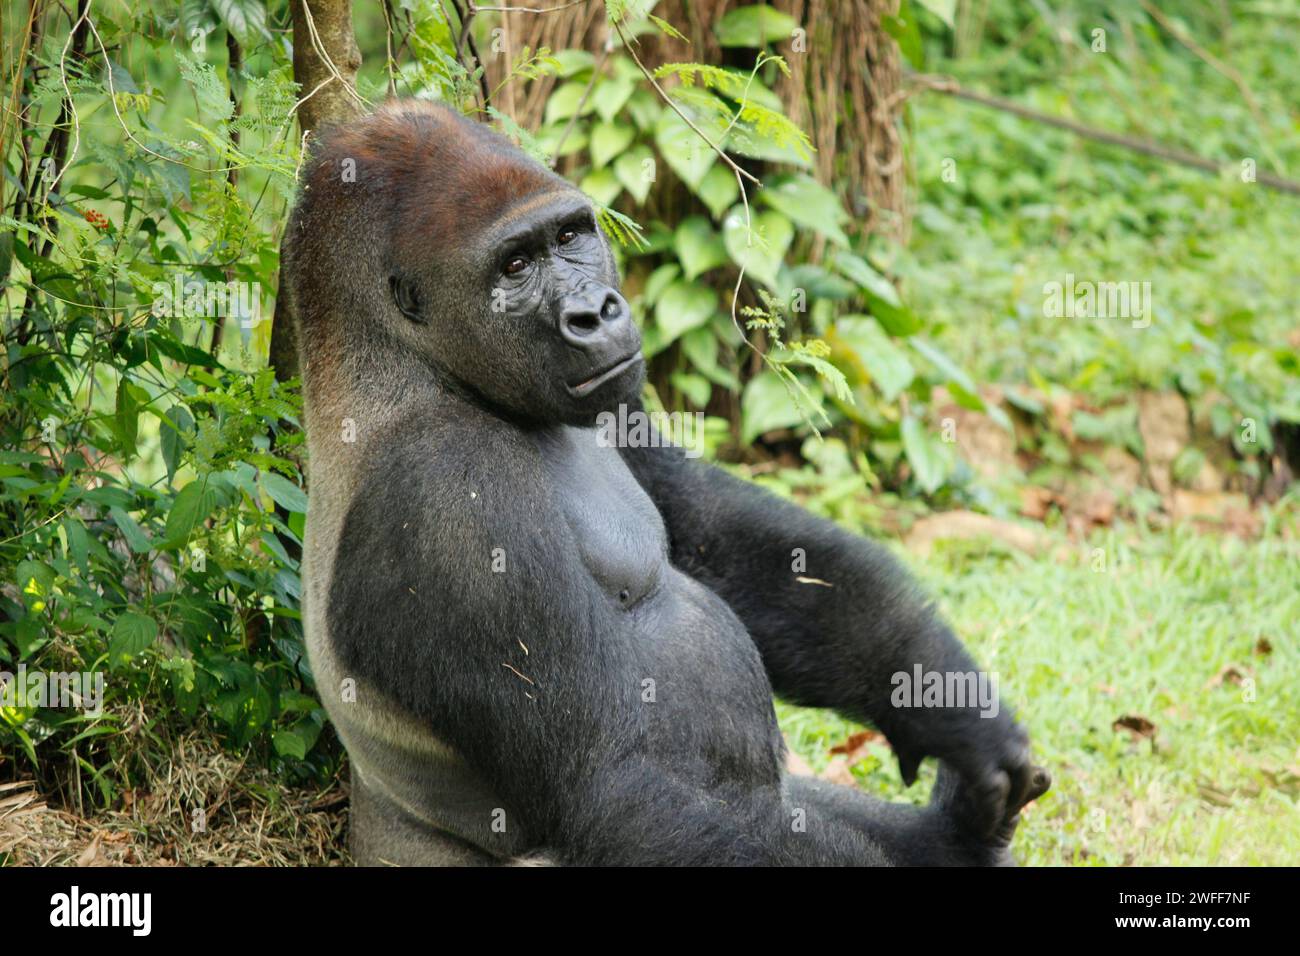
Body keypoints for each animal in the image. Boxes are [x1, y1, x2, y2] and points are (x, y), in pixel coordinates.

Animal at [284, 98, 1045, 868]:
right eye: (515, 265)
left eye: (570, 235)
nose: (595, 311)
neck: (406, 370)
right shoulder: (448, 496)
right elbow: (614, 786)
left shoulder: (613, 397)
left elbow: (714, 537)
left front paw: (944, 700)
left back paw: (953, 830)